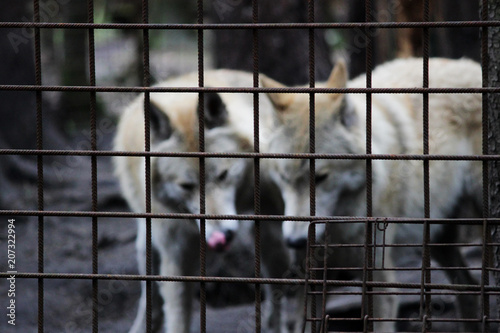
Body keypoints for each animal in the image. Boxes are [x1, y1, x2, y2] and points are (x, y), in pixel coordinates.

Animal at [114, 68, 292, 330]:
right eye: (186, 186)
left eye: (223, 175)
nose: (221, 236)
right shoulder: (176, 255)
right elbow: (177, 317)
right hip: (147, 240)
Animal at [260, 58, 482, 330]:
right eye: (284, 177)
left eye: (321, 177)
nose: (294, 242)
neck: (339, 227)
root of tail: (473, 66)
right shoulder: (314, 281)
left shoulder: (379, 278)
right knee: (468, 287)